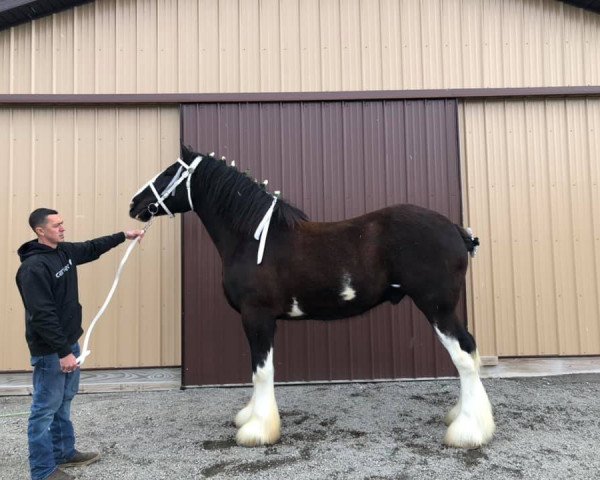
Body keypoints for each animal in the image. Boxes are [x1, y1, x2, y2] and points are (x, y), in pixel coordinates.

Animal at [129, 144, 494, 448]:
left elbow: (262, 370)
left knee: (464, 355)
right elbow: (257, 369)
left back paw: (468, 431)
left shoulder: (257, 316)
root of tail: (455, 230)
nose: (135, 204)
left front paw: (257, 430)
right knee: (469, 351)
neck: (254, 239)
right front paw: (250, 417)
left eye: (168, 173)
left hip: (437, 307)